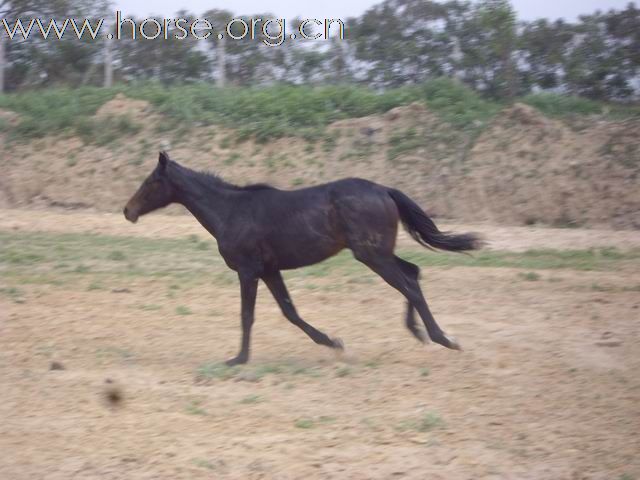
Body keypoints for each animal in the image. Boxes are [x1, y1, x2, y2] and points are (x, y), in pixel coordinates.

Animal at [124, 152, 480, 366]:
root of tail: (384, 190)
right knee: (413, 272)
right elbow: (290, 311)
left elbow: (247, 315)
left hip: (372, 255)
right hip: (380, 253)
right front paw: (332, 342)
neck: (231, 211)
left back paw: (443, 338)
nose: (128, 211)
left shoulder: (248, 270)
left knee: (408, 283)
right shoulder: (269, 270)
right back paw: (419, 332)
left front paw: (238, 359)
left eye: (151, 181)